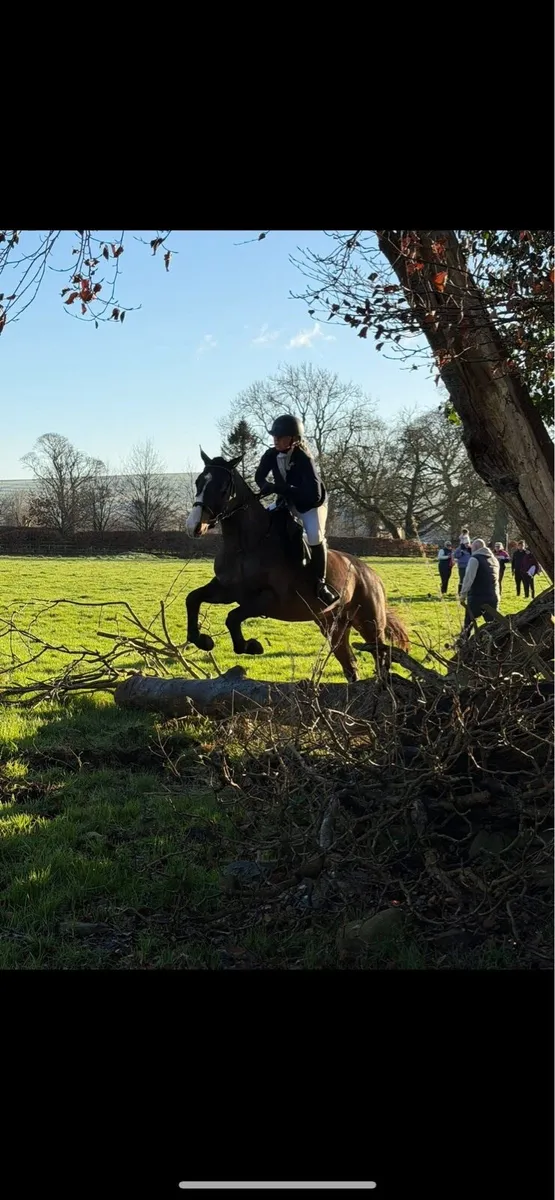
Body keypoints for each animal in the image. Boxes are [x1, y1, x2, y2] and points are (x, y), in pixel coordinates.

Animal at [184, 450, 410, 682]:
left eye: (222, 488)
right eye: (198, 482)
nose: (194, 527)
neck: (244, 546)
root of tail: (371, 574)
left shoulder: (268, 600)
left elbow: (232, 617)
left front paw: (251, 646)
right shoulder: (227, 590)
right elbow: (192, 598)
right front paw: (202, 640)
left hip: (370, 623)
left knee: (380, 657)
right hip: (332, 624)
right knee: (349, 664)